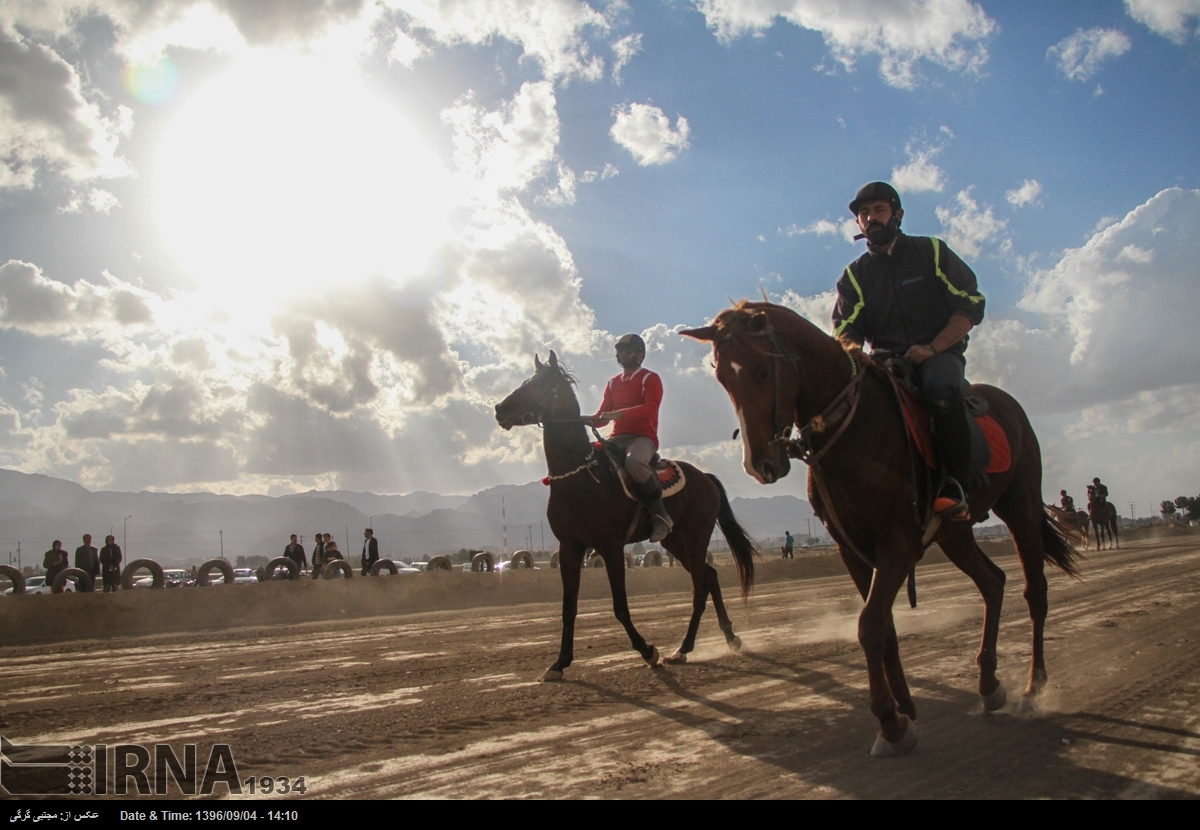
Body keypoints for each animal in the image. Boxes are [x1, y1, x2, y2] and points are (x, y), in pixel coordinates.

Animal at [494, 350, 753, 681]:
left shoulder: (612, 547)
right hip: (674, 542)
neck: (581, 476)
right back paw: (730, 637)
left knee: (700, 587)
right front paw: (559, 663)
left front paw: (648, 650)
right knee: (710, 576)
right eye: (527, 379)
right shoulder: (570, 547)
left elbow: (619, 606)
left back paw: (683, 648)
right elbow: (569, 608)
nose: (500, 409)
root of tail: (705, 478)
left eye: (539, 383)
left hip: (696, 537)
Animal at [681, 301, 1084, 753]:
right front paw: (903, 706)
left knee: (1035, 592)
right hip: (956, 535)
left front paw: (890, 724)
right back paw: (988, 683)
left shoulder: (898, 543)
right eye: (723, 377)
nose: (760, 464)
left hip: (1022, 507)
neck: (853, 432)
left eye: (762, 371)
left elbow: (871, 625)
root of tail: (1008, 404)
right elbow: (884, 626)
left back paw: (1033, 687)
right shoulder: (851, 549)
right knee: (993, 582)